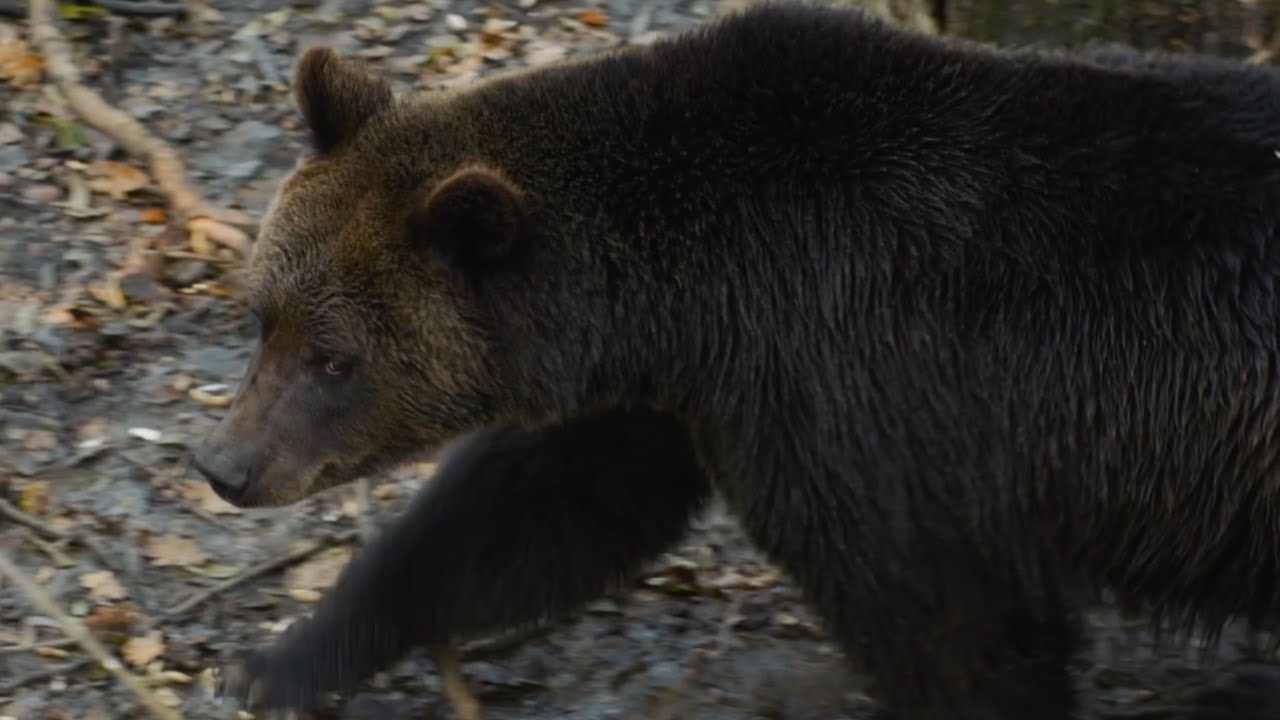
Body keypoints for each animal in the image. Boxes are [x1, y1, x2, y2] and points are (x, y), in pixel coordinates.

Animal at [189, 2, 1280, 712]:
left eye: (336, 361)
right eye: (264, 318)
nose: (227, 466)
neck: (692, 291)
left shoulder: (857, 405)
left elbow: (952, 626)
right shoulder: (669, 398)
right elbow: (523, 515)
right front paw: (279, 661)